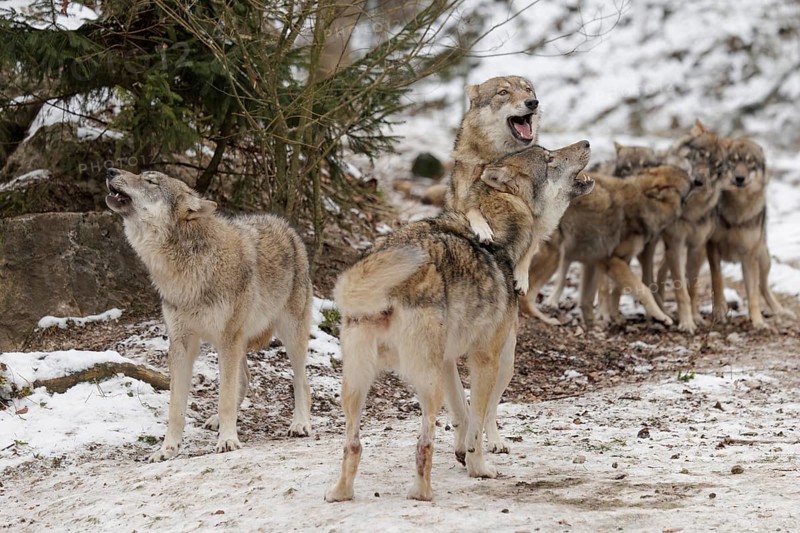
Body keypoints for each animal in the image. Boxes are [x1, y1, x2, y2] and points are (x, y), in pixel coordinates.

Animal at [105, 168, 313, 462]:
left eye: (150, 181)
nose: (110, 169)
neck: (185, 267)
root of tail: (286, 226)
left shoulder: (228, 339)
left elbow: (224, 397)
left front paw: (228, 440)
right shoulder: (181, 344)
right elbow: (176, 408)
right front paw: (167, 449)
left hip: (286, 336)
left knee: (301, 382)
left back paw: (300, 424)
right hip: (232, 342)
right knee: (245, 378)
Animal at [325, 141, 592, 503]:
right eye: (549, 158)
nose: (587, 143)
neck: (499, 238)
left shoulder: (448, 360)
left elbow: (463, 414)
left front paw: (464, 452)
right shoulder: (485, 360)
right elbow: (476, 418)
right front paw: (478, 466)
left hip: (358, 383)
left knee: (353, 444)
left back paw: (341, 492)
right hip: (454, 376)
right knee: (424, 443)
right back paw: (422, 492)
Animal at [706, 137, 794, 328]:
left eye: (749, 162)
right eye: (733, 161)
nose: (740, 178)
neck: (737, 211)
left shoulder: (748, 257)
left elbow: (753, 294)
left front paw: (758, 321)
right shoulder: (712, 248)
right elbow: (717, 281)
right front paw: (719, 311)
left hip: (763, 260)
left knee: (763, 286)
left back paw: (780, 310)